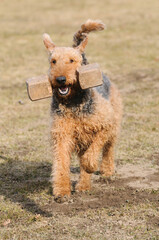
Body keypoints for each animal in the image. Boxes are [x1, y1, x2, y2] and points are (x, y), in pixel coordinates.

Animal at [42, 19, 122, 202]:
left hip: (114, 124)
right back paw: (83, 186)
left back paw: (106, 170)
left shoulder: (105, 125)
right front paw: (62, 191)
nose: (60, 79)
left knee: (108, 149)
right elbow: (61, 164)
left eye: (72, 60)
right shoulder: (62, 136)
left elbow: (94, 151)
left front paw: (90, 164)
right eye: (53, 61)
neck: (73, 103)